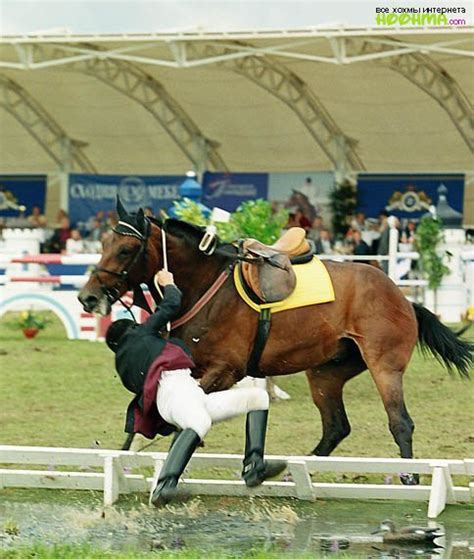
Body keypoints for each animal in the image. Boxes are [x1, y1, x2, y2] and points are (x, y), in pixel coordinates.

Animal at [78, 201, 470, 482]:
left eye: (125, 250)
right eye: (104, 244)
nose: (87, 298)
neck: (203, 286)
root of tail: (402, 296)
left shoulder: (224, 371)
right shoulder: (192, 369)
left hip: (384, 367)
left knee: (399, 422)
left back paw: (409, 477)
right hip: (325, 372)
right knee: (336, 427)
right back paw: (300, 471)